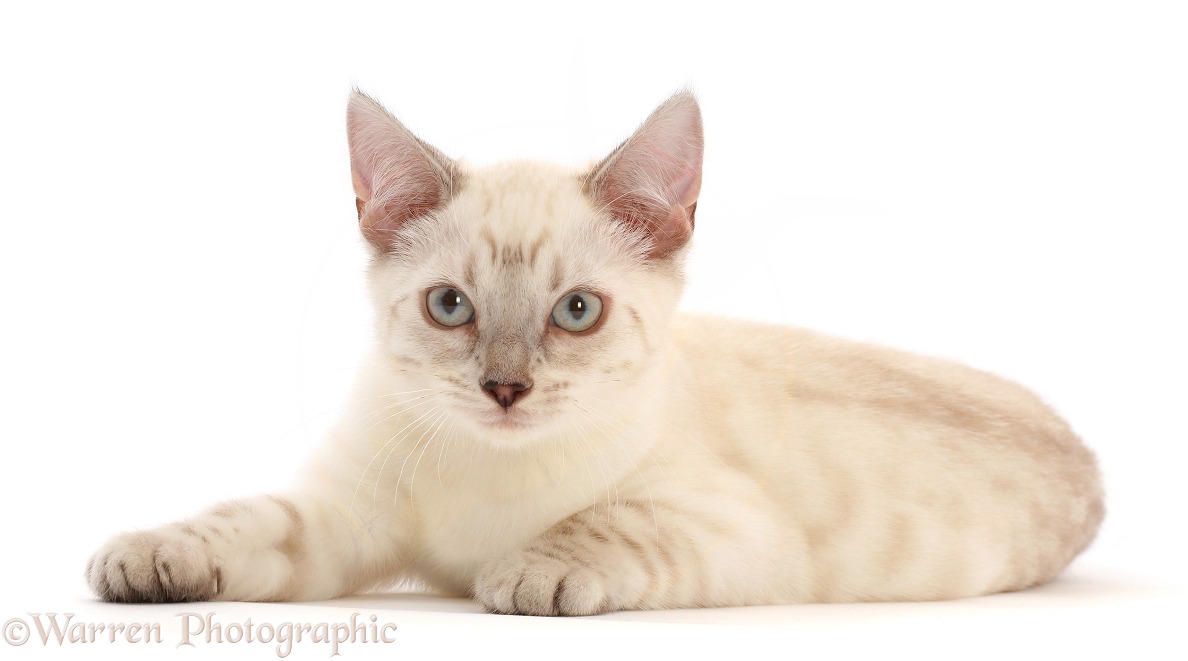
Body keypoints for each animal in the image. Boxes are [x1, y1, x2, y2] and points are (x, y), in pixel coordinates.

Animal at [86, 87, 1102, 613]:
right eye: (450, 306)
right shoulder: (343, 515)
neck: (484, 476)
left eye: (576, 312)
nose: (504, 387)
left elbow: (606, 522)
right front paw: (147, 554)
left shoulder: (733, 527)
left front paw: (523, 573)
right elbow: (242, 519)